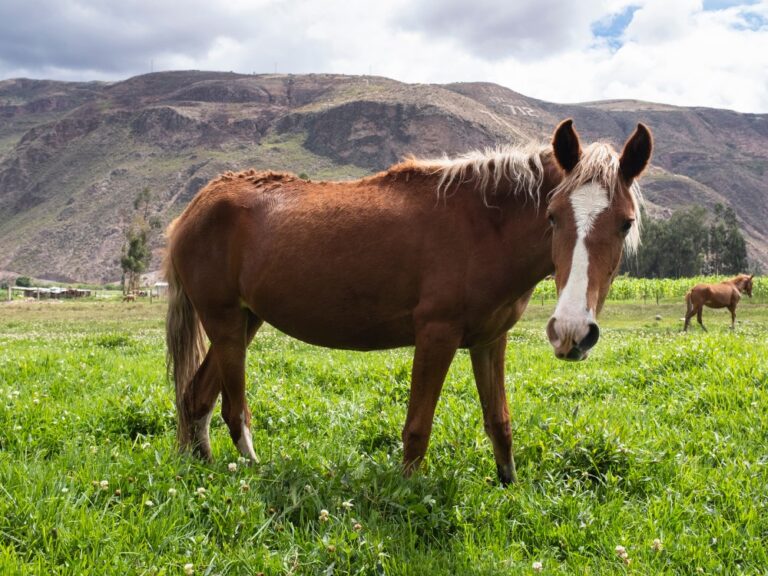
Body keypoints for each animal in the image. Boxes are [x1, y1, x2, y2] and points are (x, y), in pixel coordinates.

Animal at [165, 119, 652, 484]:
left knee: (196, 398)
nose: (571, 332)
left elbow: (500, 423)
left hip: (245, 322)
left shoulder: (489, 340)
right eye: (552, 217)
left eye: (625, 223)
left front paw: (509, 487)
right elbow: (417, 428)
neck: (484, 226)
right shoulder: (436, 337)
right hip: (225, 323)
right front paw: (407, 496)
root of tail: (196, 205)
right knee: (232, 411)